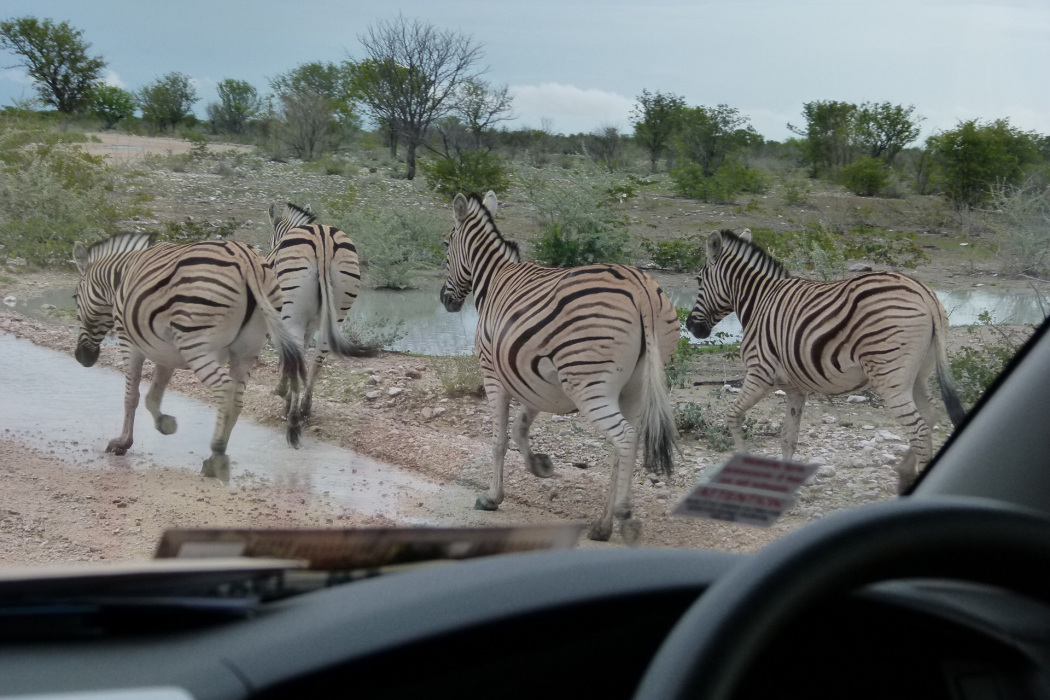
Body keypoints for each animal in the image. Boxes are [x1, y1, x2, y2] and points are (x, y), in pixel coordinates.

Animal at [70, 232, 304, 484]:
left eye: (75, 297)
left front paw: (122, 443)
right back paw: (213, 457)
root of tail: (248, 262)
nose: (82, 358)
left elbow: (131, 397)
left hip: (196, 344)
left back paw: (217, 454)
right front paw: (165, 424)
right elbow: (153, 396)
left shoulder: (129, 343)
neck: (119, 279)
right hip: (247, 349)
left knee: (224, 389)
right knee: (237, 400)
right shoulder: (165, 352)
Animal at [266, 202, 373, 421]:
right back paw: (304, 407)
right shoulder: (311, 325)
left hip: (294, 313)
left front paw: (283, 390)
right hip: (337, 310)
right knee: (318, 358)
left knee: (297, 351)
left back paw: (289, 405)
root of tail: (323, 238)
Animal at [436, 189, 676, 541]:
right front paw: (541, 466)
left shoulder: (494, 374)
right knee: (624, 446)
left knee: (624, 438)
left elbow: (498, 440)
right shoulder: (534, 380)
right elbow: (520, 429)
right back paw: (603, 525)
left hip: (589, 385)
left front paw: (492, 497)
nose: (445, 300)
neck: (493, 279)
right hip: (634, 388)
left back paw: (623, 515)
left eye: (446, 244)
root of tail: (641, 289)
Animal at [684, 229, 961, 493]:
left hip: (890, 376)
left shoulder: (760, 373)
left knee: (919, 430)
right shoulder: (795, 386)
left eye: (698, 280)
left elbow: (732, 416)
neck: (758, 302)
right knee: (930, 416)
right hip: (918, 375)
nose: (691, 328)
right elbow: (788, 436)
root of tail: (925, 293)